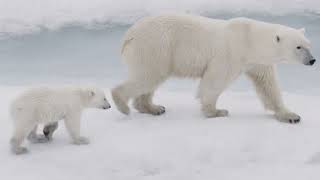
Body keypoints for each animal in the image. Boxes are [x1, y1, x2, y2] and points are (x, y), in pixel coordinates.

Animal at [112, 14, 316, 123]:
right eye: (298, 47)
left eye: (308, 44)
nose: (313, 60)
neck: (250, 39)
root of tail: (129, 35)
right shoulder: (231, 54)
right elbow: (214, 81)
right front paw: (217, 111)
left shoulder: (258, 63)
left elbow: (268, 86)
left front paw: (291, 115)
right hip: (155, 47)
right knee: (148, 76)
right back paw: (122, 104)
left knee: (150, 80)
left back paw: (153, 108)